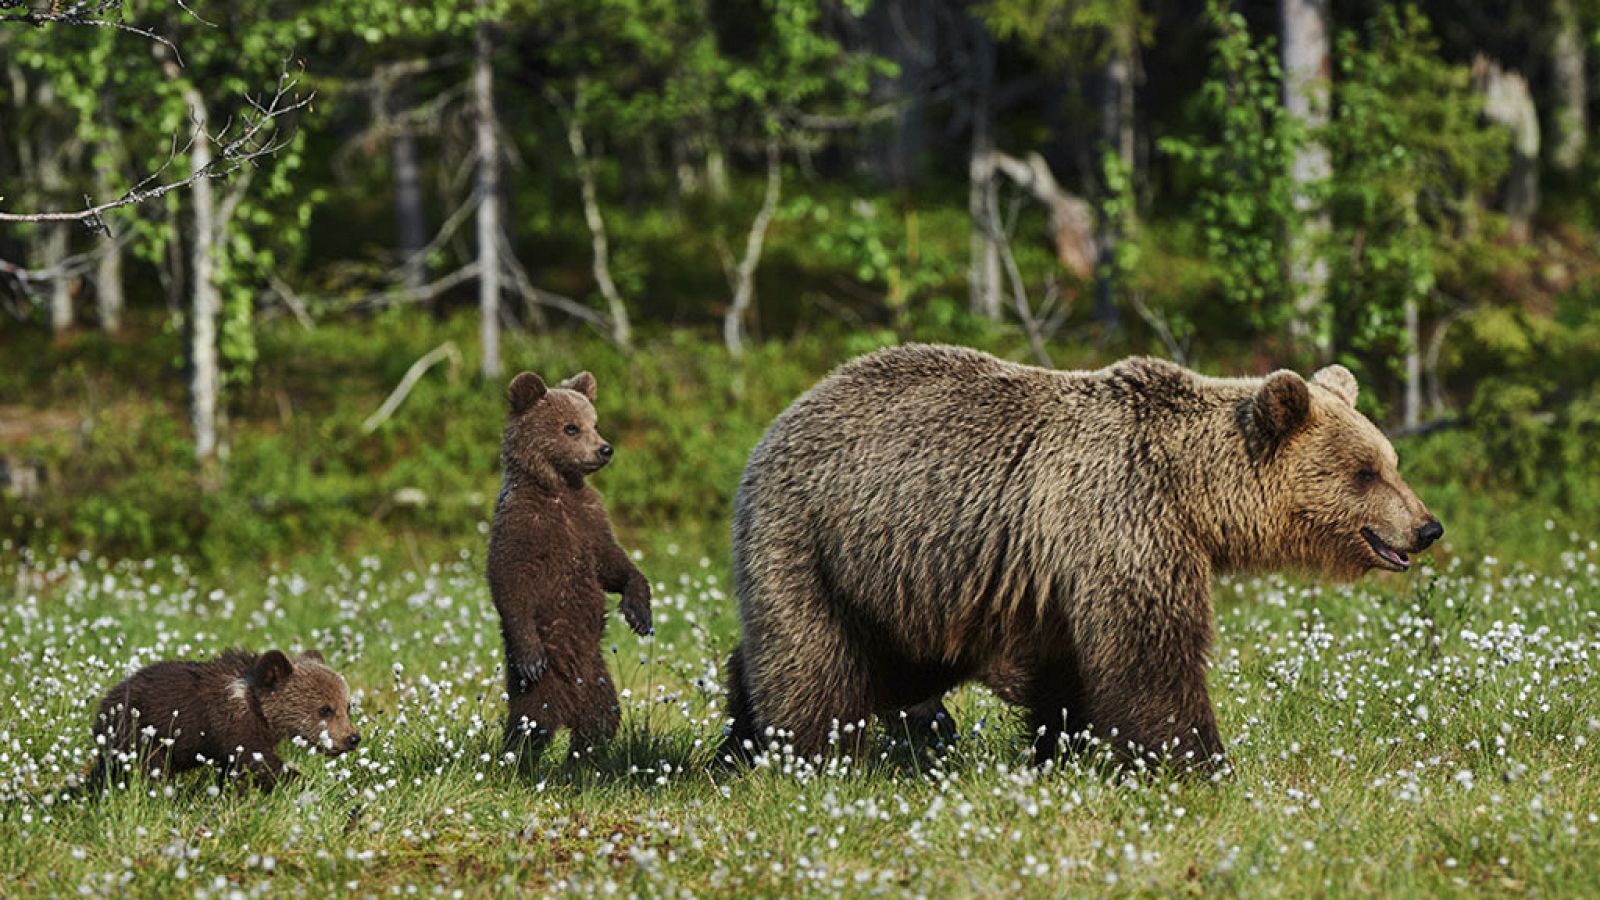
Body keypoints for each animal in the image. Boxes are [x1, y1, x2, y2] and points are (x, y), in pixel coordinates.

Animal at [86, 649, 358, 793]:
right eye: (325, 709)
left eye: (347, 706)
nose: (353, 738)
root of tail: (104, 703)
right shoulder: (231, 727)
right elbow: (257, 762)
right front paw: (303, 782)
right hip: (138, 734)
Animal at [488, 370, 652, 763]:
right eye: (570, 428)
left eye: (595, 423)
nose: (605, 449)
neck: (558, 488)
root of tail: (568, 708)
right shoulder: (523, 525)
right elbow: (509, 581)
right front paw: (531, 655)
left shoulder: (588, 521)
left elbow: (612, 563)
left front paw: (639, 612)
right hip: (542, 685)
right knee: (530, 724)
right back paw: (519, 761)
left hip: (597, 678)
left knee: (601, 721)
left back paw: (580, 761)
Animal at [718, 344, 1442, 770]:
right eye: (1365, 472)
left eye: (1392, 462)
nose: (1426, 527)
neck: (1191, 492)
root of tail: (782, 416)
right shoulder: (1123, 519)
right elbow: (1151, 653)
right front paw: (1200, 763)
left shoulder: (1057, 569)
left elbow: (1066, 671)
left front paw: (1064, 750)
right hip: (813, 539)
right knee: (814, 662)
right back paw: (803, 755)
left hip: (902, 585)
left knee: (886, 667)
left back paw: (739, 736)